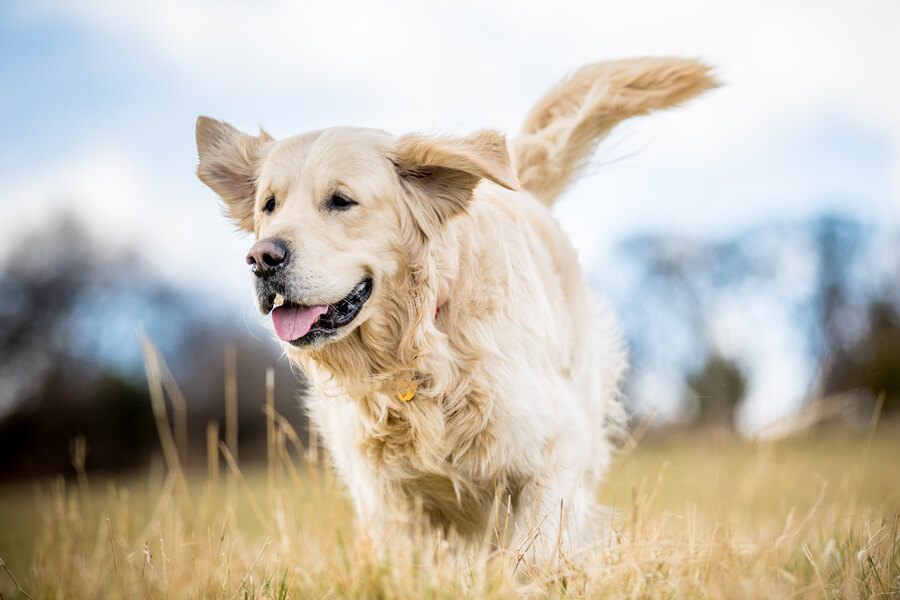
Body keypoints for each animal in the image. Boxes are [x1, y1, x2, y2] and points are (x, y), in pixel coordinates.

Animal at [193, 58, 712, 556]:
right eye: (269, 205)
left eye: (341, 200)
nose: (262, 258)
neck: (418, 345)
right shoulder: (386, 500)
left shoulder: (556, 451)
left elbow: (533, 553)